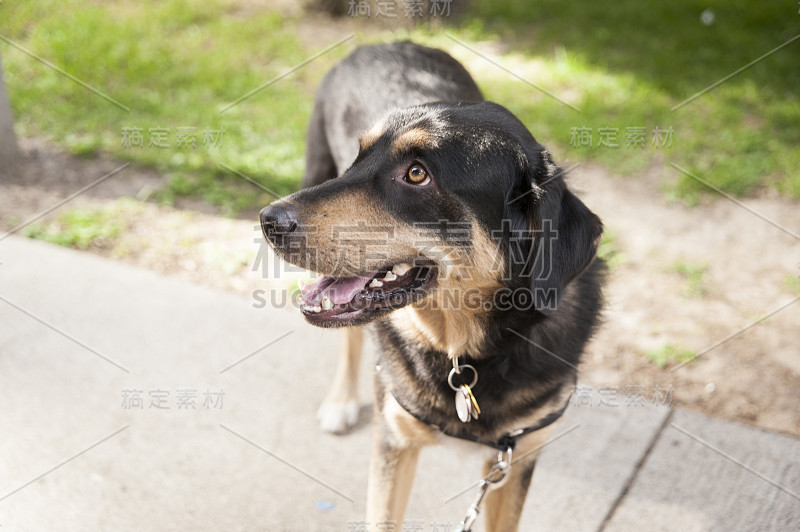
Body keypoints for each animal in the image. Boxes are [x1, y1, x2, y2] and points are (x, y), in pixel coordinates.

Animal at [260, 40, 604, 528]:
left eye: (417, 174)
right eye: (358, 157)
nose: (268, 220)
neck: (465, 351)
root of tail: (384, 42)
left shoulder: (515, 460)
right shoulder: (394, 440)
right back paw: (342, 399)